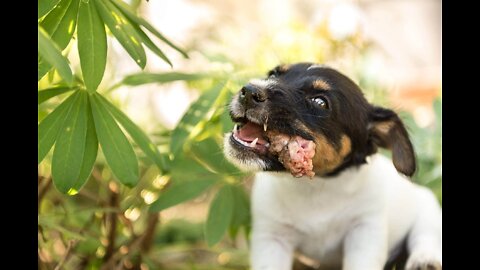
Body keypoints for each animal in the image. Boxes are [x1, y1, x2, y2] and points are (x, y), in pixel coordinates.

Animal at [223, 63, 440, 270]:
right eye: (273, 74)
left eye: (320, 102)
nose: (248, 91)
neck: (313, 185)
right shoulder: (272, 237)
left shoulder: (364, 232)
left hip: (428, 208)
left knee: (426, 235)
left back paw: (424, 261)